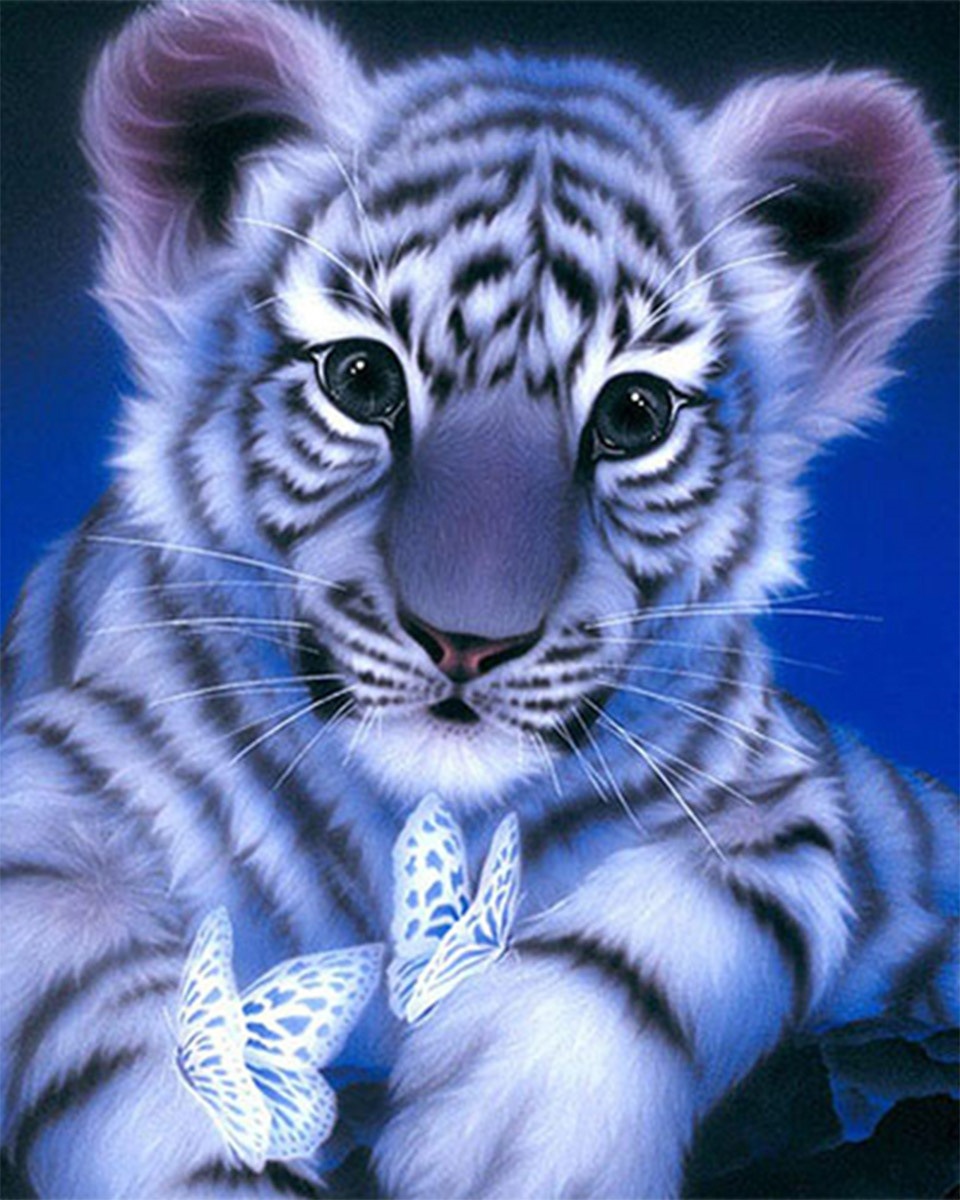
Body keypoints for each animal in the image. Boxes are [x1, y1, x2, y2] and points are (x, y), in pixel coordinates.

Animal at [1, 1, 956, 1197]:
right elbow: (127, 1020)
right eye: (361, 379)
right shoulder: (51, 788)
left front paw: (521, 1134)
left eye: (634, 413)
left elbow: (672, 927)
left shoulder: (778, 802)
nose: (466, 642)